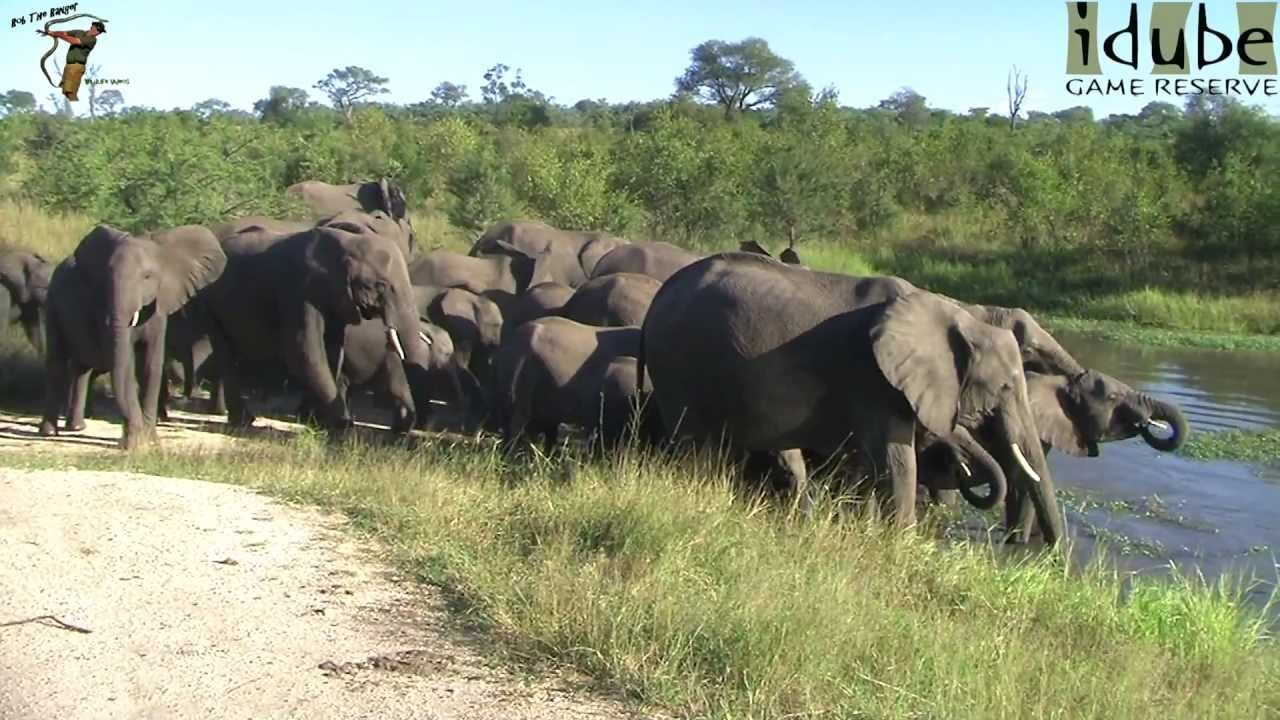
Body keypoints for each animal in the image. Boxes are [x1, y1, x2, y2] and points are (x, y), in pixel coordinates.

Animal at [38, 224, 227, 448]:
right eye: (107, 276)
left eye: (147, 276)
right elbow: (127, 364)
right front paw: (134, 443)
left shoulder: (159, 307)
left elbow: (150, 365)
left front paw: (151, 441)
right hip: (52, 302)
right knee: (57, 362)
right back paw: (49, 432)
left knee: (81, 366)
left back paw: (76, 427)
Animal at [203, 219, 424, 430]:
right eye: (381, 286)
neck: (349, 244)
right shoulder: (299, 290)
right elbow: (305, 351)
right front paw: (340, 423)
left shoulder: (335, 300)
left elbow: (332, 351)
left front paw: (320, 422)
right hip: (209, 300)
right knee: (225, 353)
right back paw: (243, 421)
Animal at [637, 252, 1059, 538]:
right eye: (1005, 387)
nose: (1048, 556)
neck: (955, 314)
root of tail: (659, 297)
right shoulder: (874, 379)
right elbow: (896, 464)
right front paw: (901, 546)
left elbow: (869, 466)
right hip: (679, 363)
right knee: (695, 447)